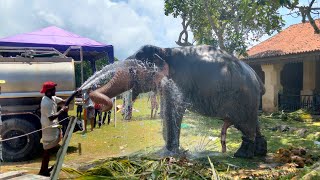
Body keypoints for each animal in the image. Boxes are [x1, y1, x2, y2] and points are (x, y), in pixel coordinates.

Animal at [82, 45, 264, 159]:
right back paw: (259, 152)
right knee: (255, 124)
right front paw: (168, 150)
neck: (164, 50)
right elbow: (166, 109)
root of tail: (257, 78)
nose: (83, 90)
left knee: (246, 125)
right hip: (250, 101)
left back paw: (242, 155)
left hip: (244, 99)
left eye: (132, 70)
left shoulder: (180, 81)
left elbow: (174, 109)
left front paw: (169, 153)